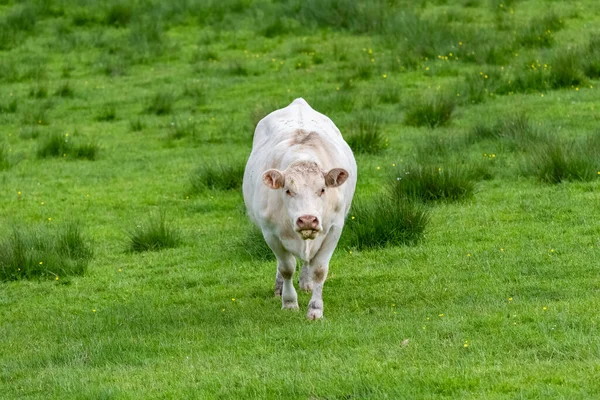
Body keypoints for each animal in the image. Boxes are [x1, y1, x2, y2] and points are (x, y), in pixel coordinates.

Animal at [243, 97, 356, 318]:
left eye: (322, 189)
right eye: (287, 190)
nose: (307, 220)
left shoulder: (334, 228)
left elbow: (319, 269)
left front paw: (315, 309)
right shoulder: (270, 232)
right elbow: (286, 267)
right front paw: (289, 302)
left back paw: (306, 282)